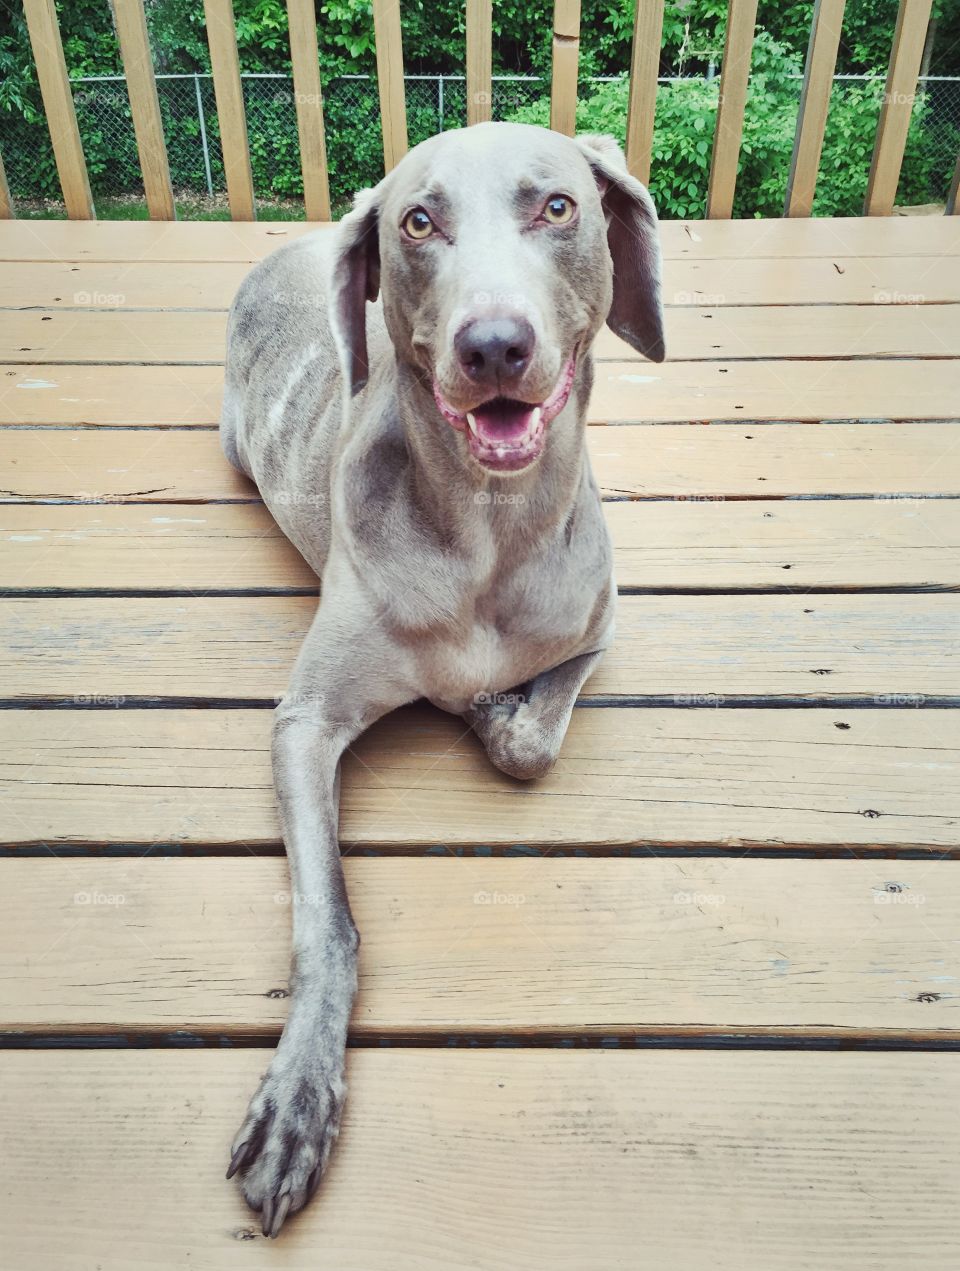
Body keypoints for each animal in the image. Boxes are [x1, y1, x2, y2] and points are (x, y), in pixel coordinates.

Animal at [219, 121, 666, 1230]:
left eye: (558, 206)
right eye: (418, 221)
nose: (493, 346)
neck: (487, 530)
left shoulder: (603, 624)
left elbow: (528, 740)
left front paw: (494, 705)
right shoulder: (303, 721)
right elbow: (327, 925)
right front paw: (297, 1101)